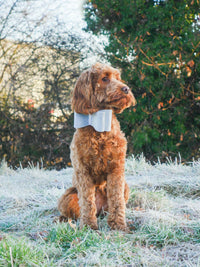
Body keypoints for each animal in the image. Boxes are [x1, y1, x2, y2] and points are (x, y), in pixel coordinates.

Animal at [57, 62, 137, 230]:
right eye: (104, 78)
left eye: (118, 77)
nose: (126, 89)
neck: (100, 124)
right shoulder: (83, 172)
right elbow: (87, 202)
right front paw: (88, 226)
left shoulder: (116, 169)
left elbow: (117, 201)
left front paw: (118, 225)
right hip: (67, 196)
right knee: (75, 211)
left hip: (125, 187)